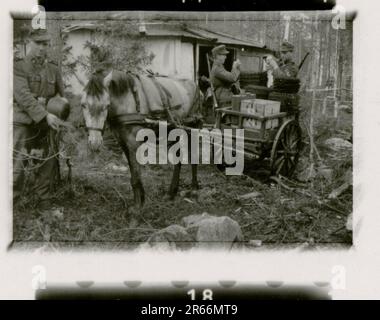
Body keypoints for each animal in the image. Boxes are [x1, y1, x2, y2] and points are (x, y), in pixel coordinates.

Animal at [81, 69, 203, 211]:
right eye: (83, 105)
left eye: (106, 105)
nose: (94, 143)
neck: (128, 101)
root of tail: (195, 85)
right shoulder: (124, 143)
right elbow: (133, 174)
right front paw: (139, 201)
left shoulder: (134, 143)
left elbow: (136, 175)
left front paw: (138, 206)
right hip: (174, 129)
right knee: (178, 159)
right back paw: (171, 193)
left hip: (193, 127)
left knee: (193, 155)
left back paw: (194, 189)